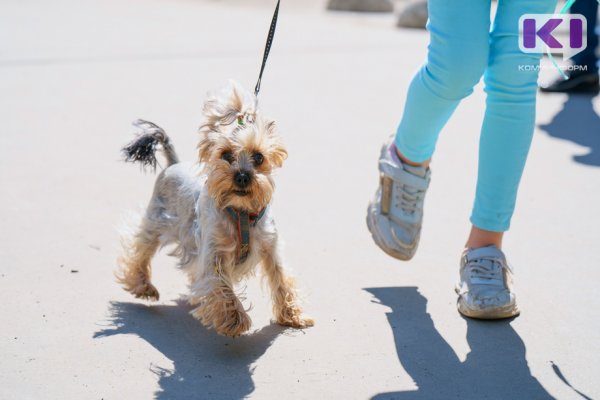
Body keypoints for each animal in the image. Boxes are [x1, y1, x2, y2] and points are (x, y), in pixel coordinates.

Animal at [116, 82, 314, 338]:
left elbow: (281, 279)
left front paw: (293, 315)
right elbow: (220, 286)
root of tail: (173, 163)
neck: (241, 212)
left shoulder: (270, 247)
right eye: (226, 155)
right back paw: (144, 286)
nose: (242, 176)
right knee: (140, 248)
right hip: (156, 219)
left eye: (259, 157)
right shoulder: (214, 253)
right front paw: (234, 320)